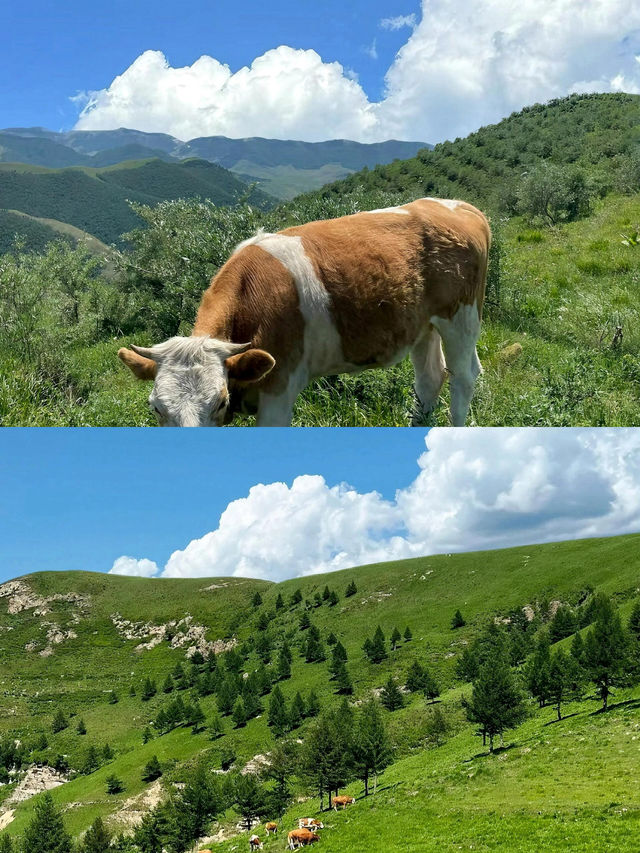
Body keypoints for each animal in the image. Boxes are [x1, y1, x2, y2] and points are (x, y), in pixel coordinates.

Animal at [119, 198, 490, 426]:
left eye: (220, 402)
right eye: (156, 407)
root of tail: (457, 206)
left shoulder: (279, 391)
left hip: (461, 316)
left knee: (464, 375)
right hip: (423, 324)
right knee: (430, 378)